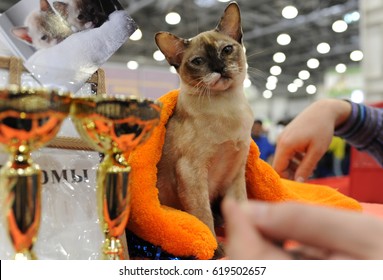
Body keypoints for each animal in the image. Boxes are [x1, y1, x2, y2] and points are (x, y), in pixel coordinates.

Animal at [154, 1, 254, 258]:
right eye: (198, 61)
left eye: (226, 50)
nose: (218, 67)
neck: (227, 108)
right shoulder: (192, 172)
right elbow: (203, 217)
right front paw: (216, 250)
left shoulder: (235, 173)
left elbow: (242, 210)